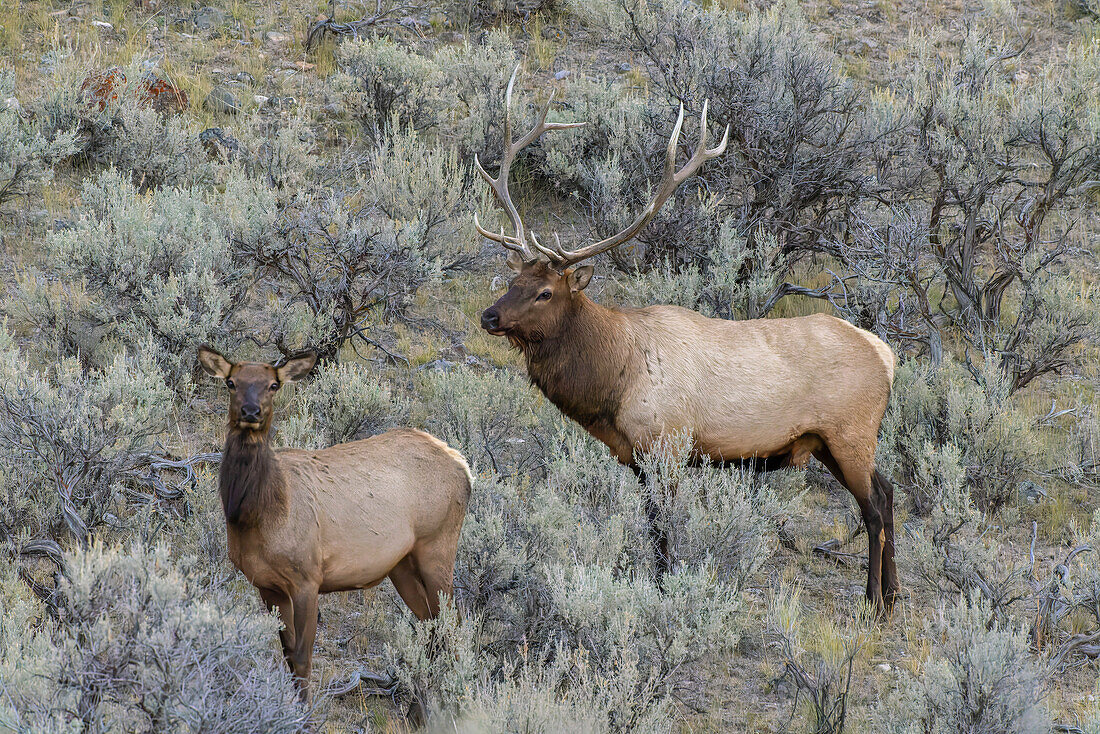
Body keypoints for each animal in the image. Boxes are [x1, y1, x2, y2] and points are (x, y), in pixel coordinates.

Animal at [198, 347, 473, 699]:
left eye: (273, 385)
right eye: (231, 382)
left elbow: (303, 660)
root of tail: (463, 466)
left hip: (438, 545)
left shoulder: (307, 578)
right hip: (401, 564)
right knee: (430, 629)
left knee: (452, 631)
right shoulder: (267, 584)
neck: (257, 515)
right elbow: (288, 656)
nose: (251, 411)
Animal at [470, 68, 893, 611]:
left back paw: (875, 600)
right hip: (831, 442)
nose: (490, 316)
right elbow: (653, 530)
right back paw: (894, 594)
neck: (614, 383)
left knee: (875, 507)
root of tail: (886, 355)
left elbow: (664, 531)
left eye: (545, 292)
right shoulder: (635, 458)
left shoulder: (668, 445)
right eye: (512, 280)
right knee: (889, 492)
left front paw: (666, 589)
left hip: (850, 433)